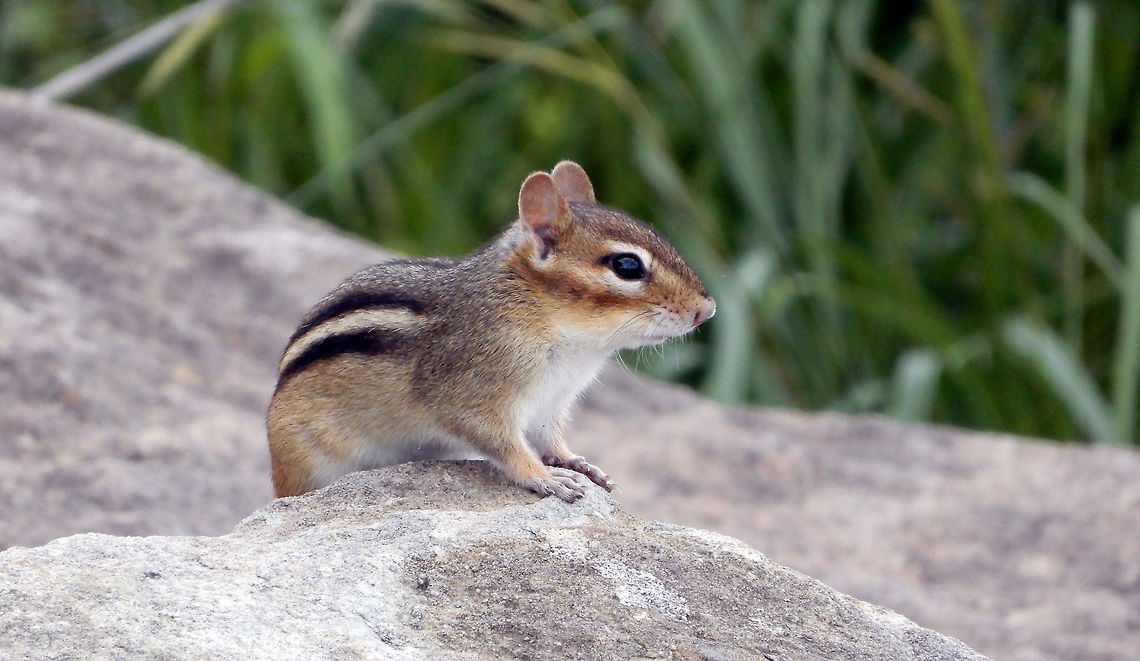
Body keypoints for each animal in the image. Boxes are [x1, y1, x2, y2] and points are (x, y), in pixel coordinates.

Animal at [267, 161, 715, 502]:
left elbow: (550, 440)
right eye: (627, 266)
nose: (706, 311)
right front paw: (545, 478)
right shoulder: (471, 394)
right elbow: (504, 445)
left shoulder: (550, 404)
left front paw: (577, 463)